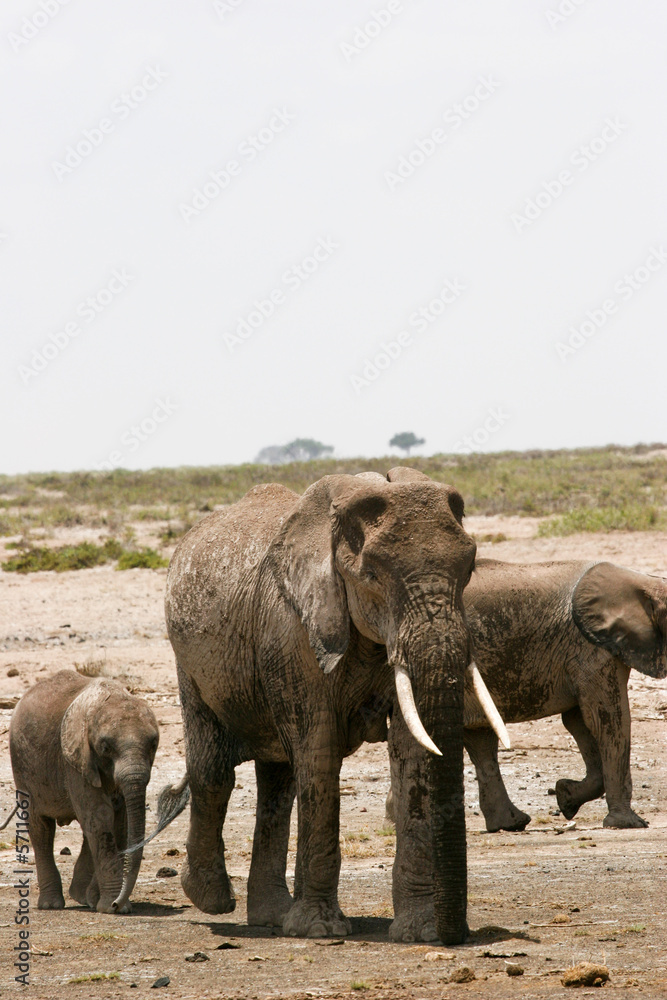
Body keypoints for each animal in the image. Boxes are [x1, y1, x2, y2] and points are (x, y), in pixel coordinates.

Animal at [9, 670, 159, 913]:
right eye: (106, 747)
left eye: (153, 745)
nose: (117, 903)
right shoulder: (75, 761)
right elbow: (100, 816)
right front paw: (113, 908)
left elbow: (119, 821)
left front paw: (104, 902)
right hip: (22, 766)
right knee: (40, 828)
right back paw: (52, 905)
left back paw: (81, 897)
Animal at [162, 469, 507, 944]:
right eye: (373, 575)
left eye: (469, 569)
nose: (455, 934)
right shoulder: (292, 631)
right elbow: (319, 749)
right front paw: (319, 930)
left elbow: (412, 750)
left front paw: (420, 932)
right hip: (189, 661)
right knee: (214, 770)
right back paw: (211, 899)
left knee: (278, 782)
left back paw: (272, 916)